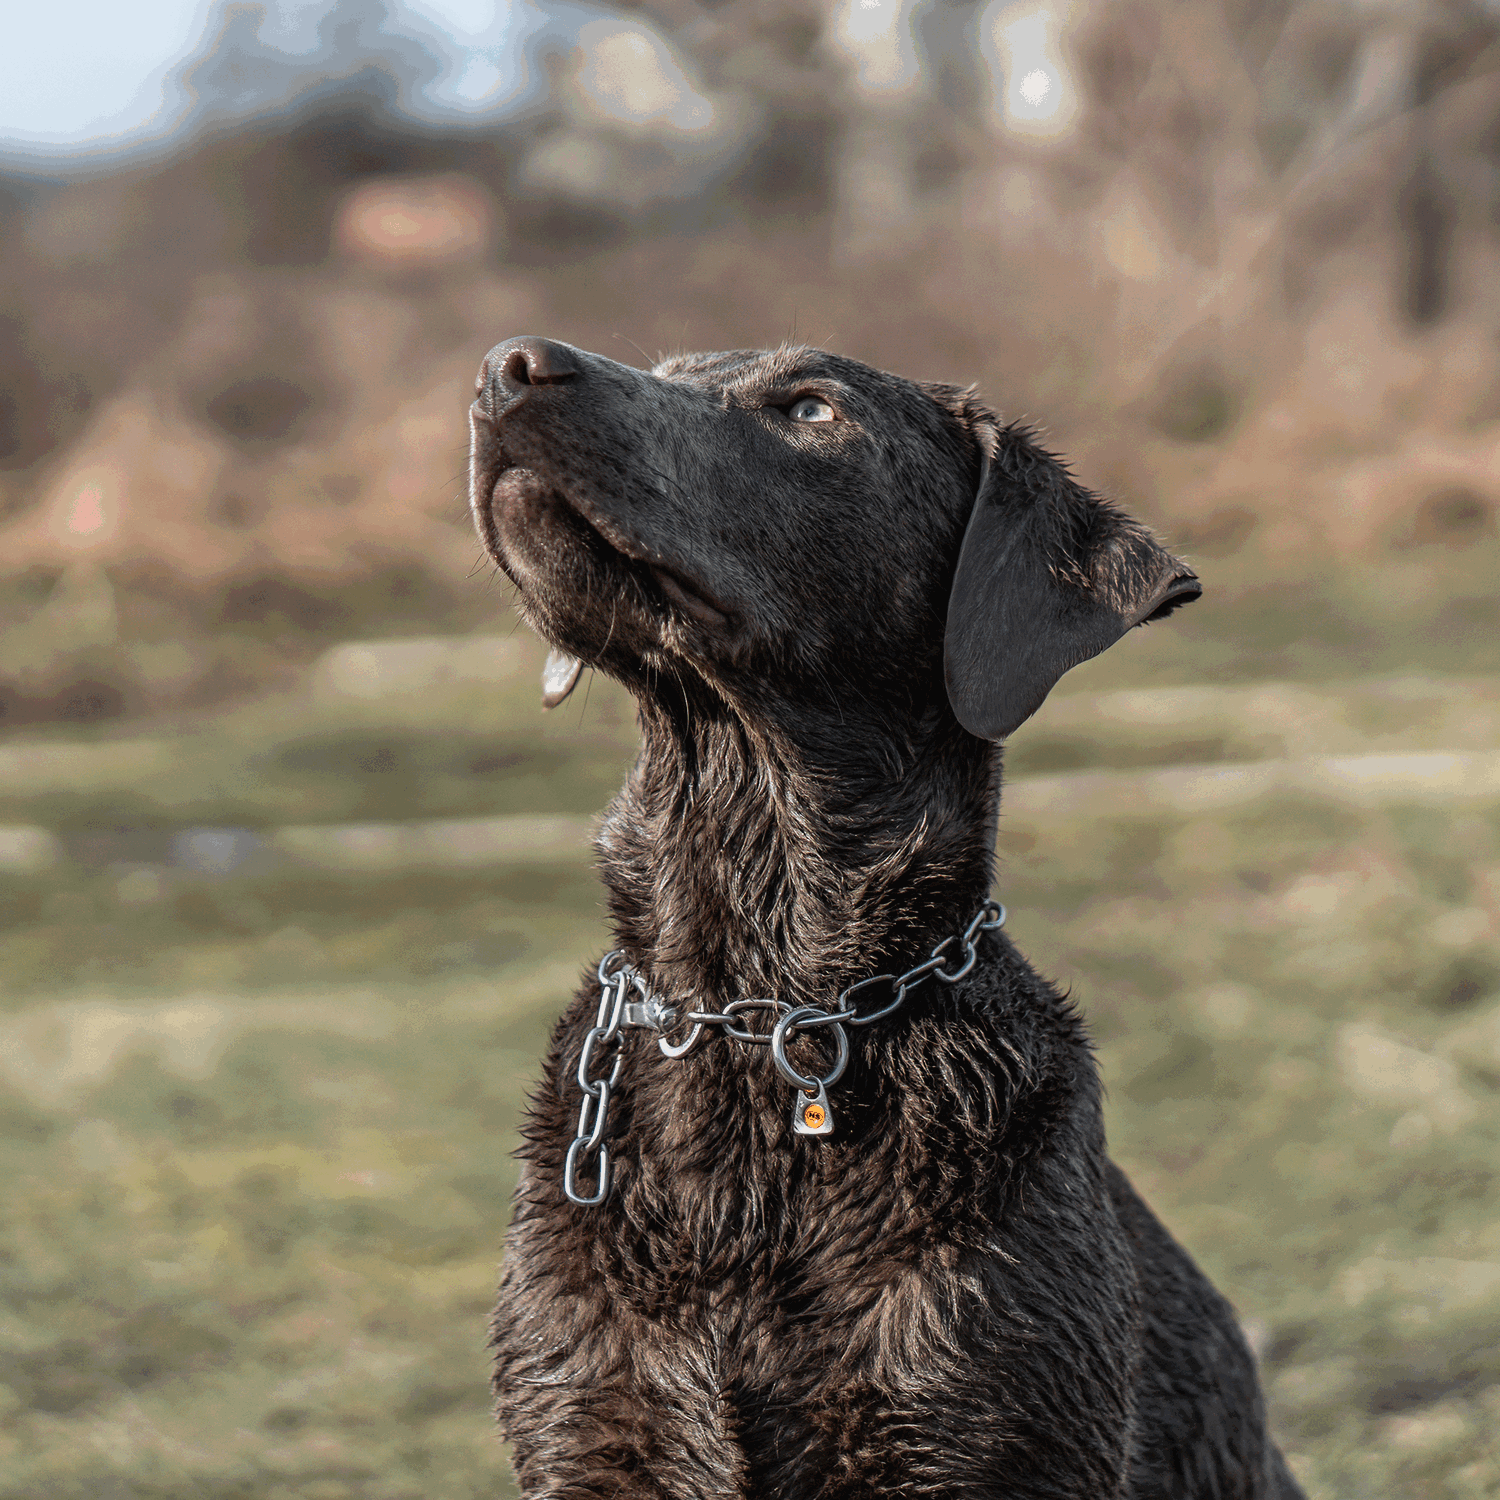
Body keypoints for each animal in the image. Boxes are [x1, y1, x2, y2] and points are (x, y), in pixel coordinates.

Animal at [465, 340, 1302, 1500]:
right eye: (667, 367)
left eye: (812, 409)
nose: (509, 364)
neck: (761, 1006)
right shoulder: (588, 1423)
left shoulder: (975, 1426)